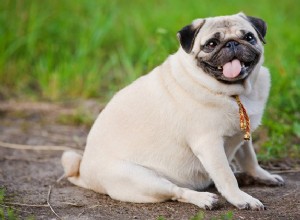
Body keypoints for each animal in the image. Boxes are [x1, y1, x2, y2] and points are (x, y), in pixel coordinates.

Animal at [61, 12, 284, 210]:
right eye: (211, 44)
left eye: (248, 37)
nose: (232, 43)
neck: (235, 93)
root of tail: (83, 173)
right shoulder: (209, 144)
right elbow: (225, 177)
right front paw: (241, 198)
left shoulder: (242, 132)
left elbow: (249, 159)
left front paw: (262, 175)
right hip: (142, 179)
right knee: (177, 191)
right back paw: (204, 199)